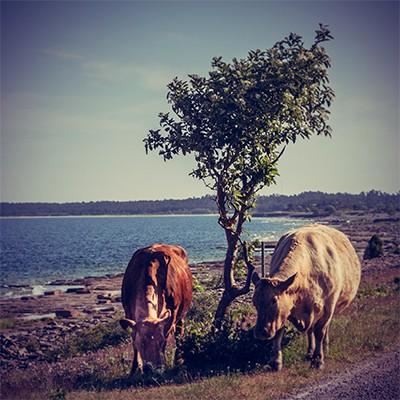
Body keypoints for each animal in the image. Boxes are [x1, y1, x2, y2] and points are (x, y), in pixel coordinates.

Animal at [253, 223, 362, 370]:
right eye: (254, 302)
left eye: (273, 301)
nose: (260, 332)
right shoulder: (285, 309)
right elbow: (279, 332)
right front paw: (276, 361)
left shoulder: (328, 305)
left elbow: (320, 331)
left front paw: (318, 360)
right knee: (310, 330)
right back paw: (310, 351)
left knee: (323, 329)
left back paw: (324, 348)